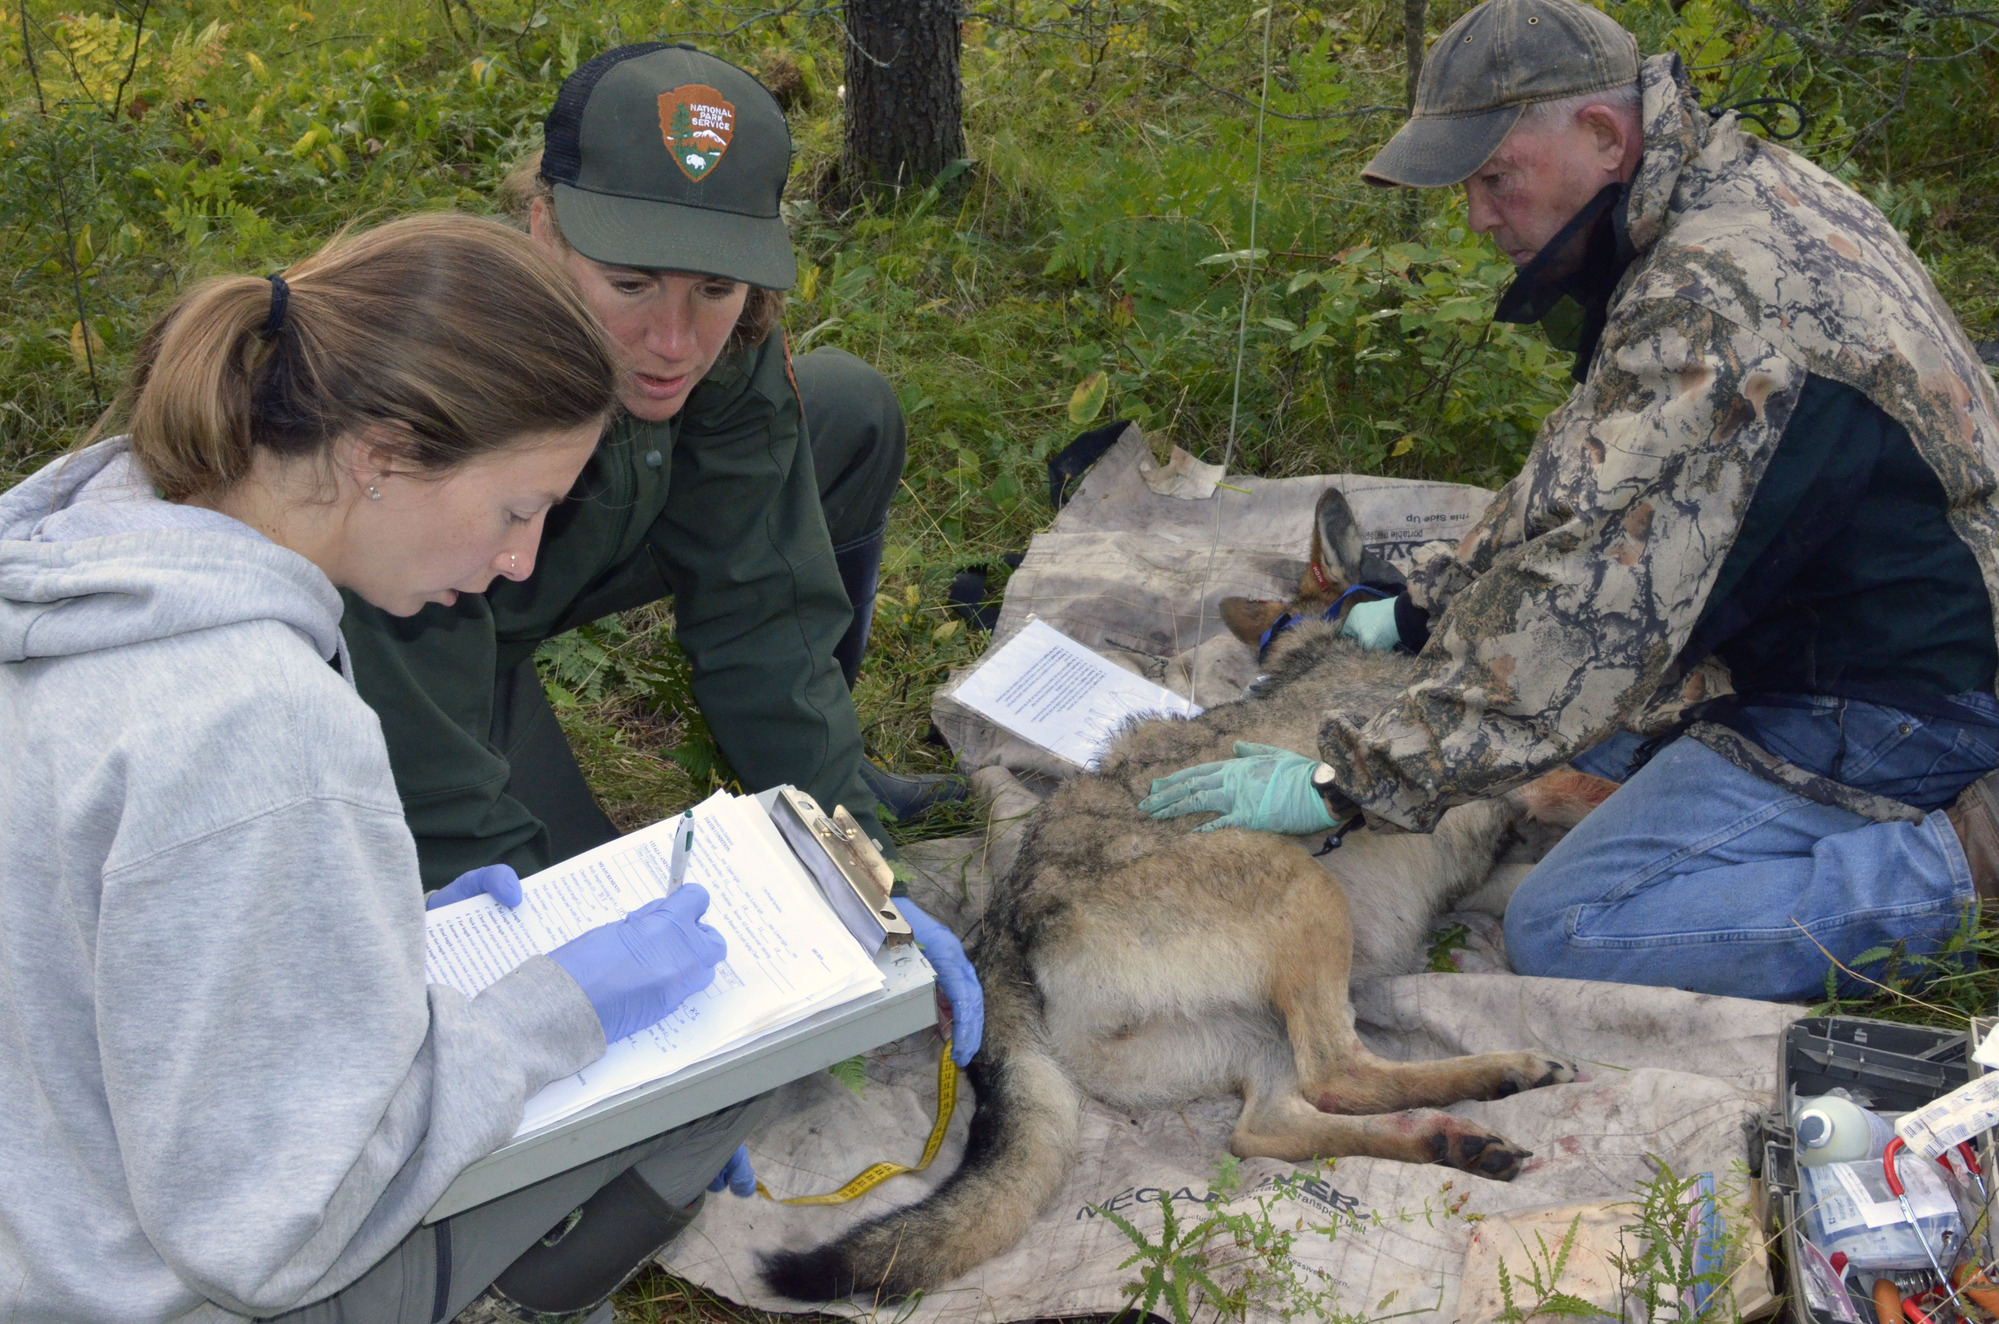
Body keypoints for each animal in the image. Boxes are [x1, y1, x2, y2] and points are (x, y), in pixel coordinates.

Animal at [763, 488, 1610, 1303]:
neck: (1320, 639)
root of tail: (1001, 934)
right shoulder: (1506, 771)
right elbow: (1587, 785)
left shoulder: (1496, 864)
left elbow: (1529, 881)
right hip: (1303, 893)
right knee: (1336, 1073)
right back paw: (1503, 1076)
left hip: (1256, 1029)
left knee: (1264, 1127)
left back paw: (1446, 1139)